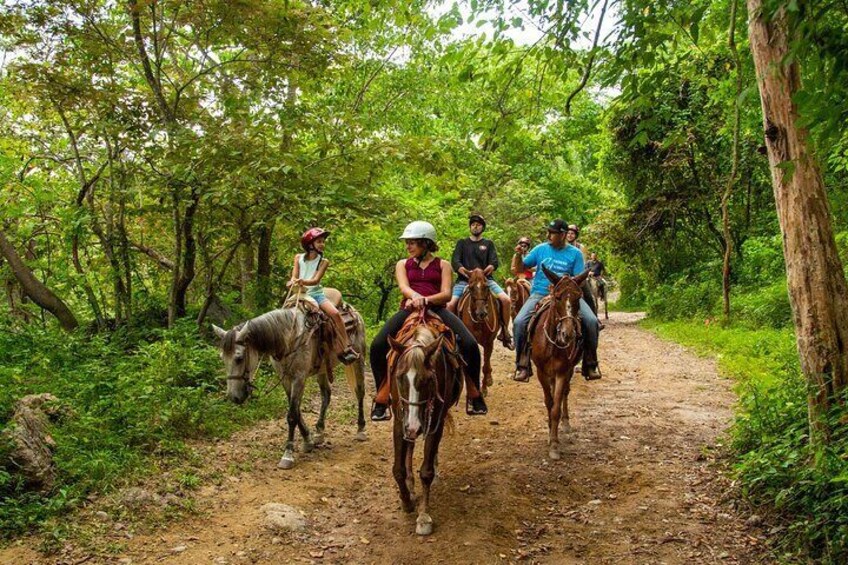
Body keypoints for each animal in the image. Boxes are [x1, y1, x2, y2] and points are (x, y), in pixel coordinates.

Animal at [214, 304, 366, 468]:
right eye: (222, 358)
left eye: (239, 358)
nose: (233, 397)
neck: (288, 339)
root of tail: (354, 311)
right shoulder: (286, 379)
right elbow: (297, 411)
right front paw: (308, 440)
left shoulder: (299, 378)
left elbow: (292, 415)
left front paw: (288, 455)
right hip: (323, 369)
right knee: (326, 395)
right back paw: (319, 432)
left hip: (359, 359)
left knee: (360, 392)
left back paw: (361, 429)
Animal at [388, 310, 460, 536]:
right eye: (399, 378)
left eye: (428, 380)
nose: (413, 427)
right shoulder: (400, 421)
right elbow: (398, 469)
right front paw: (406, 501)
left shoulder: (435, 422)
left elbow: (427, 471)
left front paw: (424, 517)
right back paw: (410, 486)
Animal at [528, 266, 588, 460]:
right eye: (558, 297)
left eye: (578, 297)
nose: (568, 334)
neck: (553, 344)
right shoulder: (541, 372)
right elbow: (549, 402)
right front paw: (549, 435)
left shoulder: (562, 371)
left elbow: (556, 407)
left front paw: (554, 444)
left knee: (564, 394)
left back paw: (566, 424)